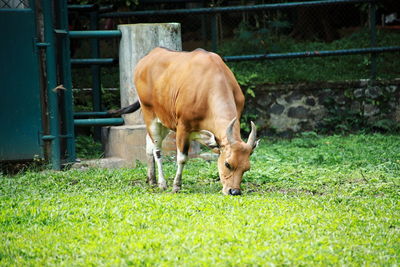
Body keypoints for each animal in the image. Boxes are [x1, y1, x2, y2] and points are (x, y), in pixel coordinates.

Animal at [112, 47, 258, 196]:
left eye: (247, 168)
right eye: (227, 164)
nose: (234, 191)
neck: (208, 89)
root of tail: (147, 58)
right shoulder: (183, 127)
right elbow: (182, 158)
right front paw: (176, 186)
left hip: (165, 120)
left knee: (148, 142)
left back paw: (151, 180)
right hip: (150, 115)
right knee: (157, 149)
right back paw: (162, 183)